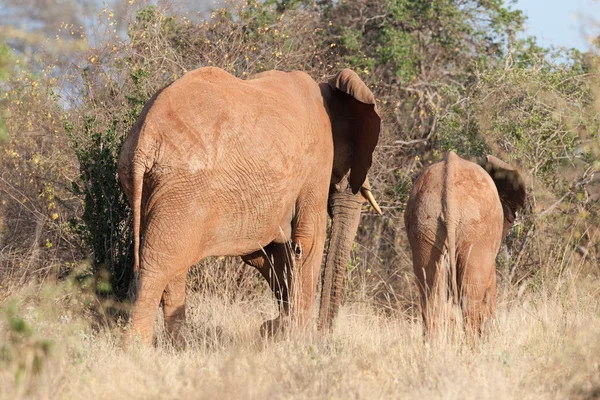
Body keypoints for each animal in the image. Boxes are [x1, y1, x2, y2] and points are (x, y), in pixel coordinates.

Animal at [116, 67, 380, 346]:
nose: (323, 334)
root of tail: (144, 140)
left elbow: (267, 253)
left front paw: (279, 329)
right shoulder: (316, 161)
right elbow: (308, 243)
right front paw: (296, 338)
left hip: (153, 185)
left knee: (174, 265)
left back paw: (180, 345)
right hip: (182, 188)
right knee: (157, 265)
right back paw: (137, 349)